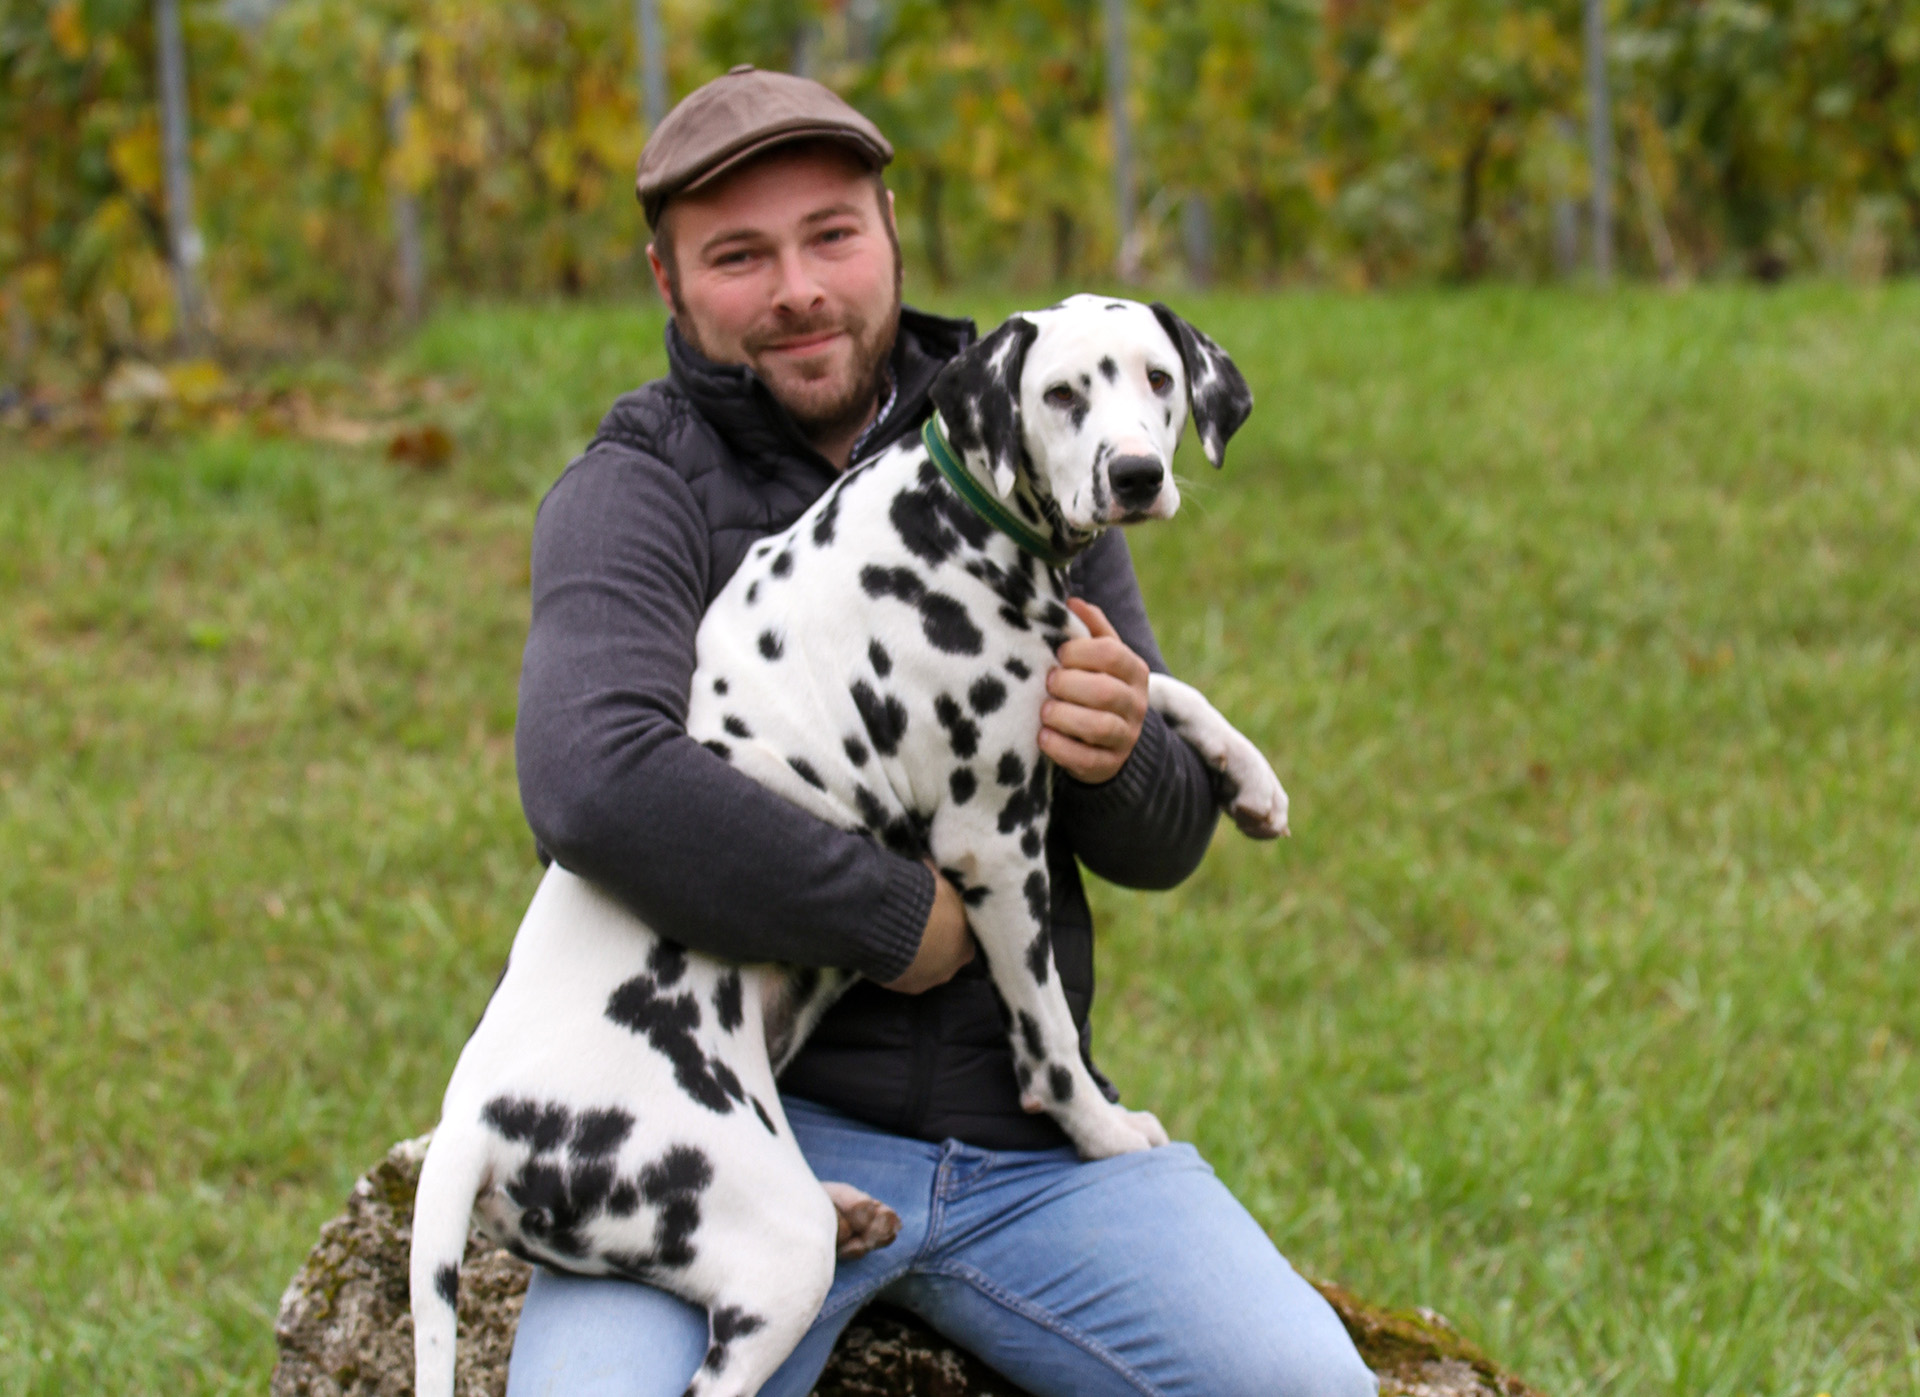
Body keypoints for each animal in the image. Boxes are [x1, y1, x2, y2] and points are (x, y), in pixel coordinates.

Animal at [414, 295, 1297, 1397]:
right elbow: (1050, 1036)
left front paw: (1253, 779)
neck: (950, 519)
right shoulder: (994, 843)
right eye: (1061, 392)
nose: (1136, 473)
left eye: (1160, 380)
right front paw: (1103, 1133)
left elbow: (1154, 680)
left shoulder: (1076, 666)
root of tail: (472, 1120)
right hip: (770, 1245)